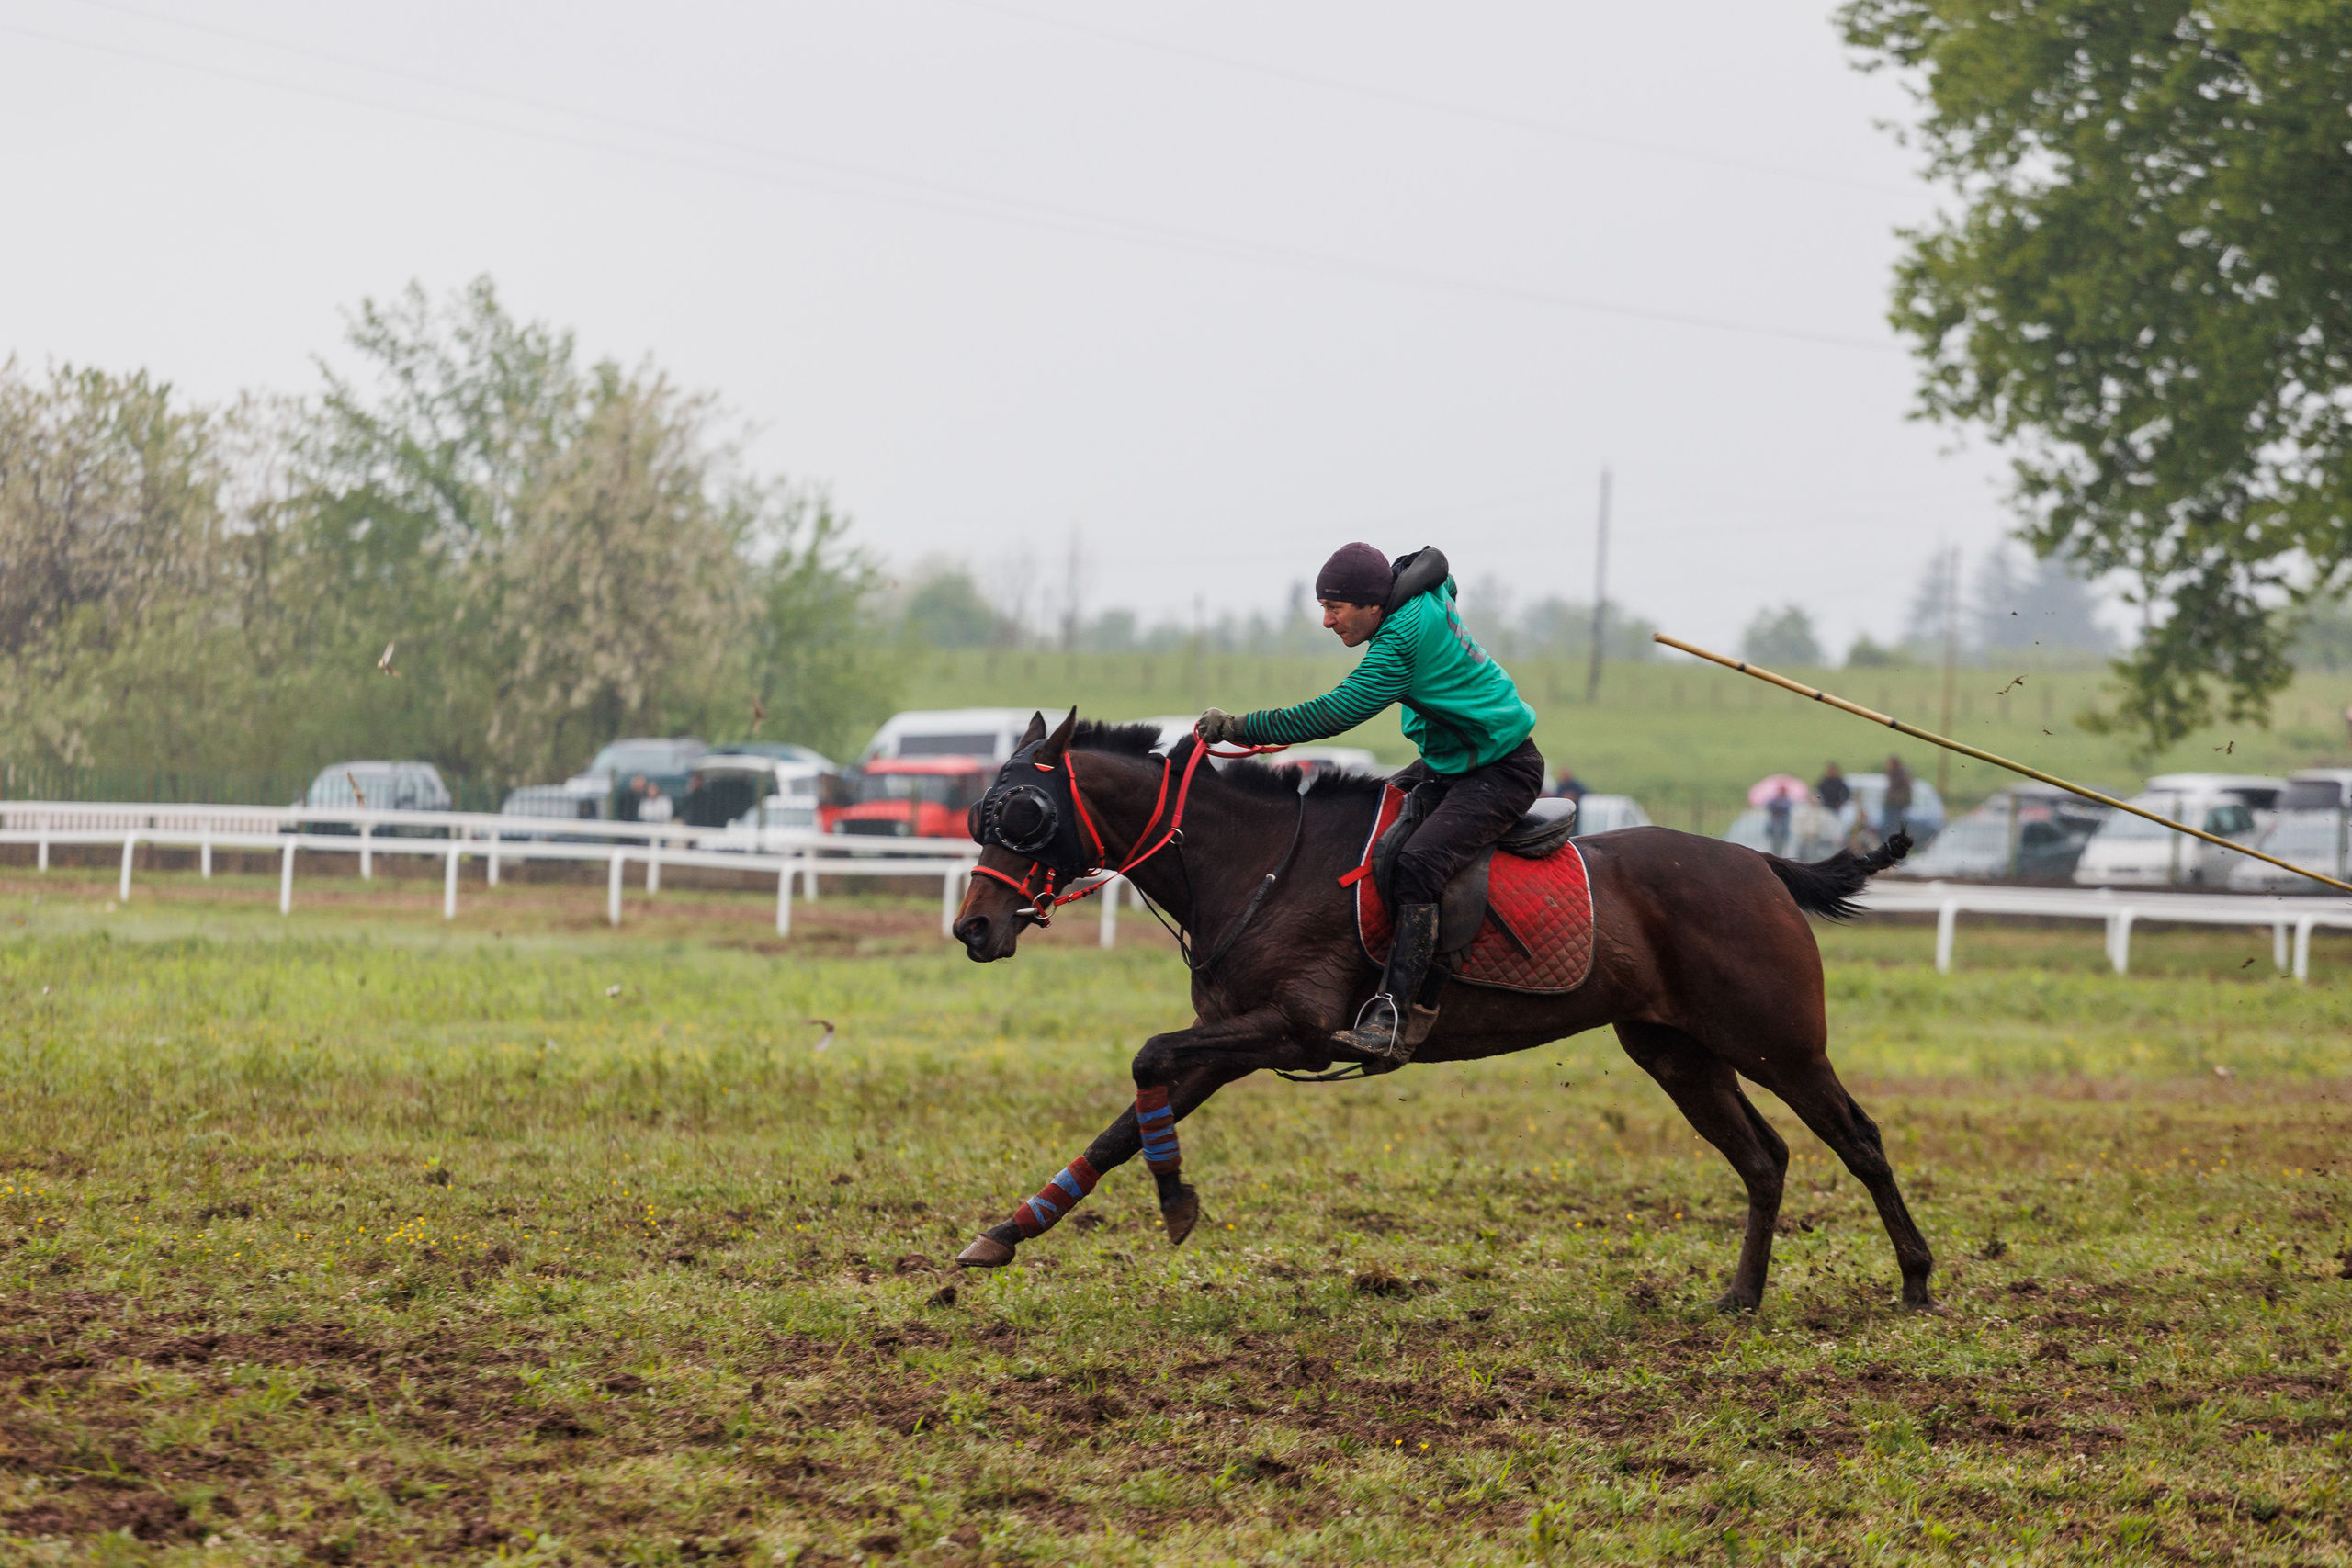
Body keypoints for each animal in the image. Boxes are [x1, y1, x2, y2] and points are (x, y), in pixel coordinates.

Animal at [947, 710, 1935, 1314]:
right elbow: (1129, 1113)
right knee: (1763, 1159)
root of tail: (1762, 864)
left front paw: (1174, 1199)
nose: (972, 927)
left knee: (1858, 1139)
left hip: (1781, 1045)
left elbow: (1147, 1057)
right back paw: (1743, 1295)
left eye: (1025, 813)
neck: (1259, 860)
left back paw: (1918, 1280)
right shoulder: (1230, 1042)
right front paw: (1009, 1230)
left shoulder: (1291, 1029)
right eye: (977, 814)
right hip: (1679, 1053)